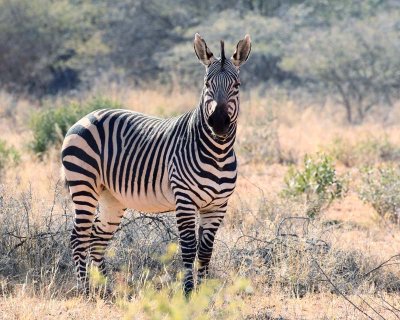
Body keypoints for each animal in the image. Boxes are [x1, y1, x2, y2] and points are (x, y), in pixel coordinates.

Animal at [61, 33, 252, 296]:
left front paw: (204, 293)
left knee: (98, 237)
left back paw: (106, 290)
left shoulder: (218, 205)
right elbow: (189, 248)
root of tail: (87, 115)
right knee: (79, 237)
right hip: (83, 185)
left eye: (237, 86)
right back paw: (86, 290)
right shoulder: (185, 200)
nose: (219, 123)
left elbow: (205, 251)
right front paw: (188, 293)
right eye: (206, 85)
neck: (218, 153)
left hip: (111, 196)